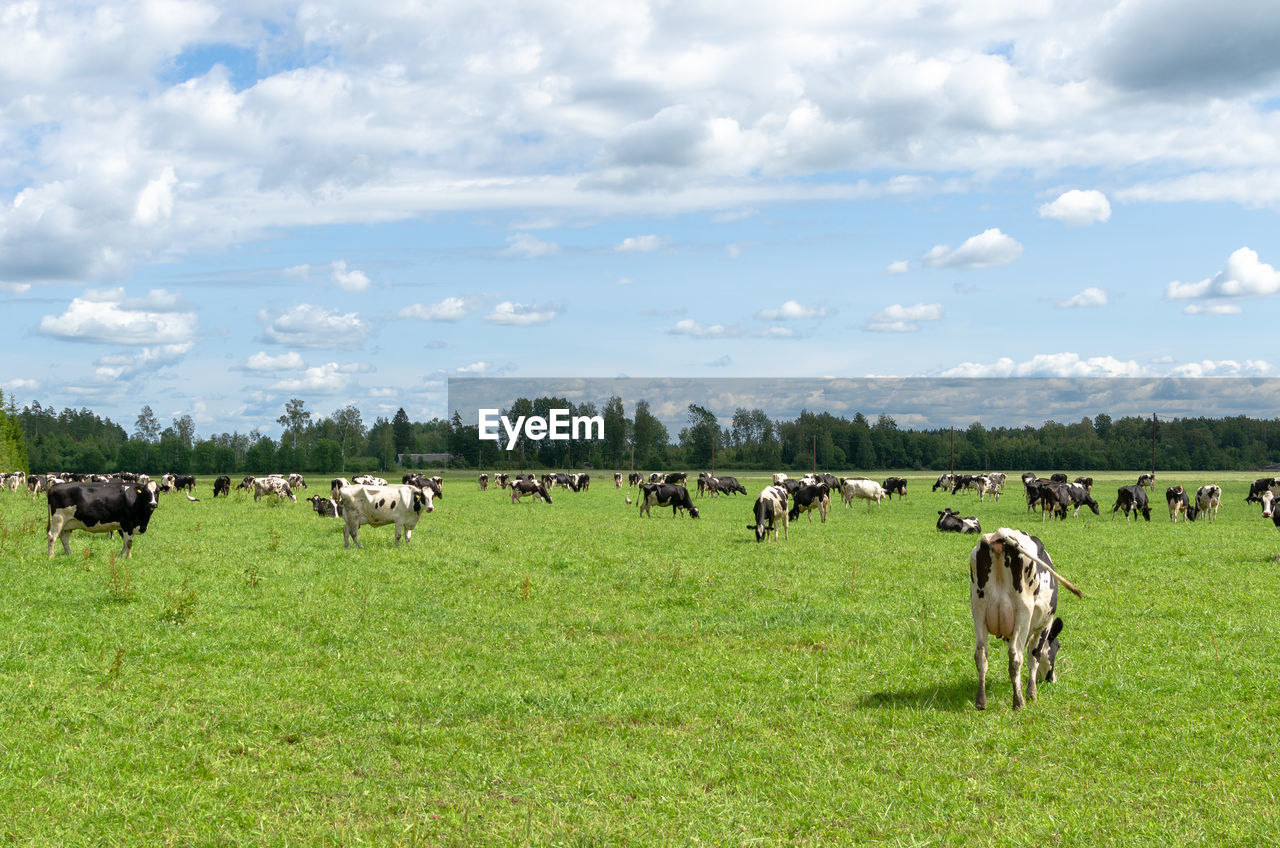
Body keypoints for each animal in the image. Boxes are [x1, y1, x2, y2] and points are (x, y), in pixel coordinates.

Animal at [967, 527, 1080, 712]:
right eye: (1057, 647)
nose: (1051, 679)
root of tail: (1001, 535)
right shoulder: (1044, 625)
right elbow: (1034, 656)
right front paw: (1031, 693)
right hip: (1023, 611)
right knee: (1015, 655)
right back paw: (1018, 702)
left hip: (978, 609)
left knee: (981, 654)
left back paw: (981, 701)